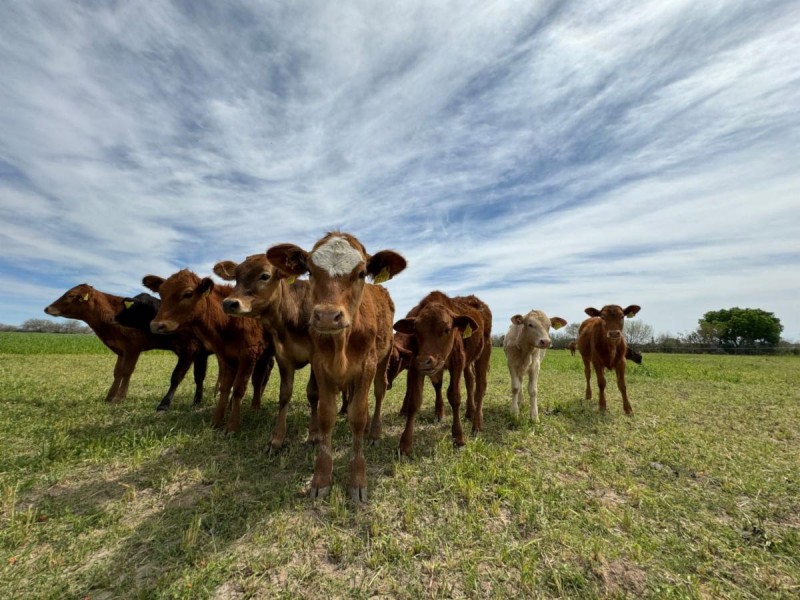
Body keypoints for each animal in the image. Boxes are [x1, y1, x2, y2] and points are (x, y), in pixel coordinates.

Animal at [43, 284, 208, 406]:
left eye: (71, 295)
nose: (47, 308)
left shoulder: (133, 348)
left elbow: (127, 371)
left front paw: (119, 397)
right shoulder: (121, 350)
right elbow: (117, 372)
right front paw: (110, 396)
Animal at [145, 270, 276, 434]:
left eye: (188, 293)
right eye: (161, 294)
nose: (156, 325)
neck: (228, 322)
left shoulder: (249, 354)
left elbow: (239, 389)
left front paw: (232, 426)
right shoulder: (226, 357)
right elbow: (225, 387)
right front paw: (216, 421)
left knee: (259, 379)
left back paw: (255, 406)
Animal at [214, 254, 324, 450]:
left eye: (264, 276)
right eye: (236, 277)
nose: (229, 303)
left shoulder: (316, 356)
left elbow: (313, 393)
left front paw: (313, 435)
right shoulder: (283, 356)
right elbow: (284, 394)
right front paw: (277, 439)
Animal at [268, 231, 406, 502]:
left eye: (361, 273)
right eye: (310, 271)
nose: (327, 316)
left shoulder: (367, 365)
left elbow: (358, 416)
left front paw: (358, 478)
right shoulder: (321, 366)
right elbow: (326, 415)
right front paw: (321, 477)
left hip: (384, 357)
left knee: (379, 392)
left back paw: (374, 432)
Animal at [394, 290, 494, 454]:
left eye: (447, 329)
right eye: (416, 331)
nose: (425, 361)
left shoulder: (457, 362)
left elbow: (454, 397)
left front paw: (458, 437)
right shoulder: (415, 366)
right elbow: (414, 401)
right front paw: (405, 444)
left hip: (484, 351)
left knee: (480, 386)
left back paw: (477, 423)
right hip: (468, 362)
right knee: (470, 381)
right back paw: (470, 412)